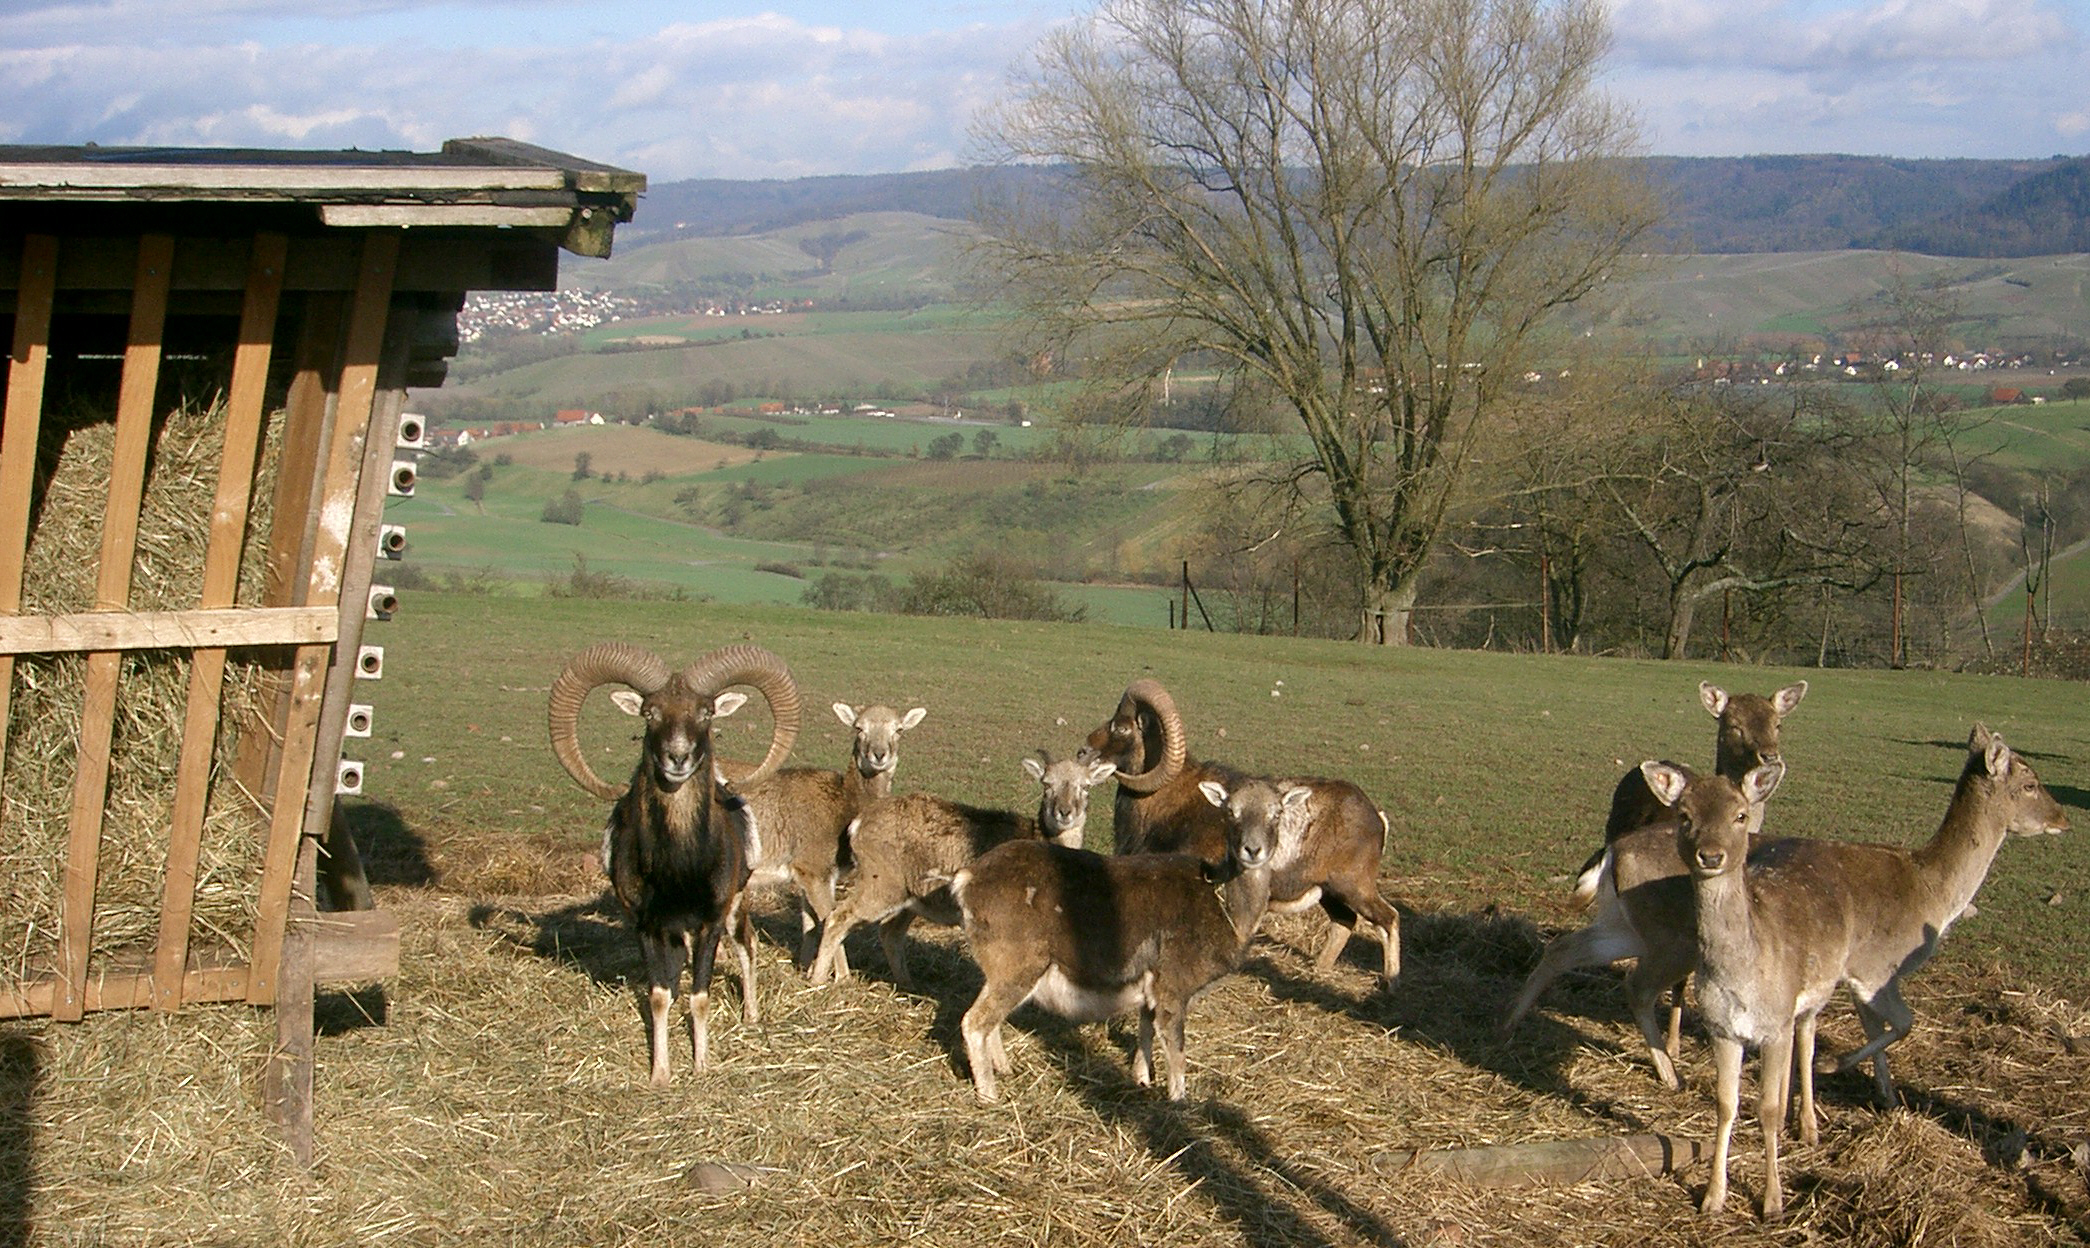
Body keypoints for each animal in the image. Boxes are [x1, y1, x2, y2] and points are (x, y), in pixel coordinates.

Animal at [547, 643, 798, 1078]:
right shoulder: (648, 927)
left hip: (736, 907)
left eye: (706, 712)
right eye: (650, 713)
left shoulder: (710, 923)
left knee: (746, 946)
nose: (677, 758)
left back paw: (750, 1016)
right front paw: (660, 1074)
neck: (680, 868)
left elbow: (700, 996)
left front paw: (701, 1065)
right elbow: (660, 995)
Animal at [806, 752, 1120, 986]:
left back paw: (908, 984)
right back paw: (821, 979)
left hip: (909, 898)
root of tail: (858, 824)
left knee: (889, 934)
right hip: (881, 883)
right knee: (837, 918)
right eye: (1046, 785)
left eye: (1086, 786)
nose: (1064, 813)